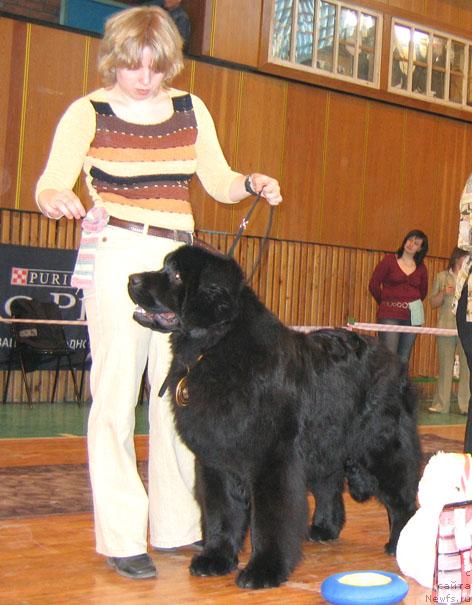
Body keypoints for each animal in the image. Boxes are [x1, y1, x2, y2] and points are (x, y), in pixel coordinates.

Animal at [128, 243, 420, 588]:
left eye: (174, 275)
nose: (132, 279)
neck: (216, 345)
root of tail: (395, 362)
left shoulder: (271, 462)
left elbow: (269, 519)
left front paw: (263, 570)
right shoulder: (215, 460)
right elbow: (221, 513)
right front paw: (216, 558)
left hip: (380, 446)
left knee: (402, 498)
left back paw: (400, 543)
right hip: (324, 442)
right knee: (329, 486)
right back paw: (324, 528)